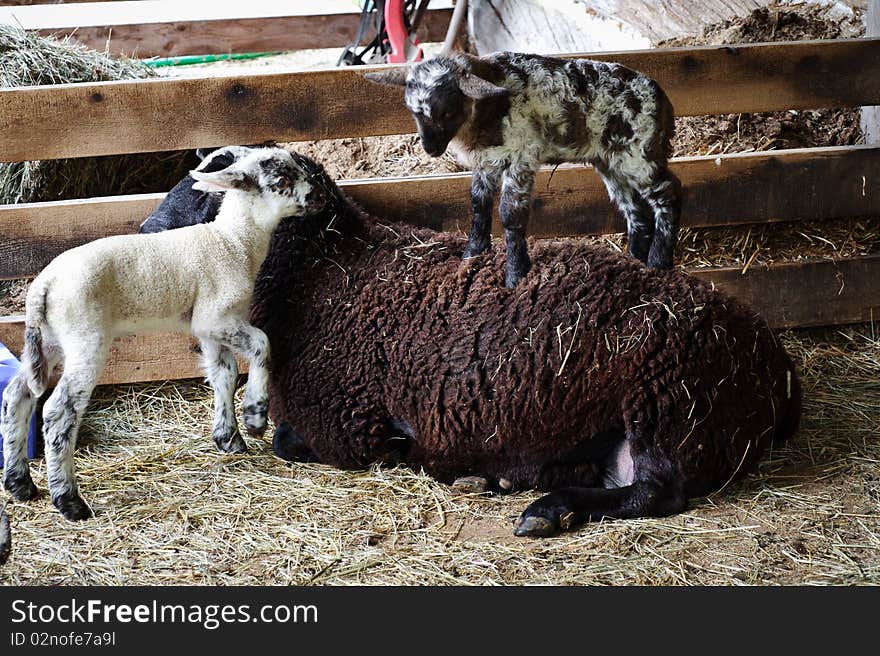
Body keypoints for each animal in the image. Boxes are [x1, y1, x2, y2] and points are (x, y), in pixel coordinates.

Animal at [0, 146, 324, 520]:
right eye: (282, 180)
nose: (319, 196)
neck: (232, 242)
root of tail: (43, 285)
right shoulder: (215, 317)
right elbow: (262, 344)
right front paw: (255, 416)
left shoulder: (209, 327)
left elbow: (224, 373)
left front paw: (229, 438)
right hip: (85, 337)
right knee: (58, 411)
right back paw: (69, 501)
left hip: (49, 341)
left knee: (17, 395)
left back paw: (19, 484)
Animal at [364, 51, 680, 288]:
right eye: (414, 112)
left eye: (449, 111)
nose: (430, 149)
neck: (489, 111)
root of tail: (664, 101)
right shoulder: (487, 162)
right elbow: (478, 205)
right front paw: (472, 255)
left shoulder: (522, 157)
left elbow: (510, 214)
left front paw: (516, 275)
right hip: (610, 161)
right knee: (635, 210)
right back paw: (635, 261)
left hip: (640, 152)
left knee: (669, 193)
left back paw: (658, 262)